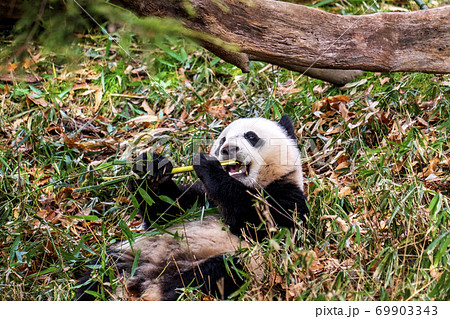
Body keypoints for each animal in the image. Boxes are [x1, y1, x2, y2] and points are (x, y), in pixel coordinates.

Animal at [77, 115, 310, 302]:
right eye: (222, 140)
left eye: (251, 136)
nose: (227, 149)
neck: (251, 184)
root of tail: (148, 278)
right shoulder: (201, 199)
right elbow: (165, 212)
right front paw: (152, 168)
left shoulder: (287, 194)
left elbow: (264, 225)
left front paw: (208, 166)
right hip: (135, 252)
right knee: (99, 272)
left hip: (242, 263)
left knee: (216, 272)